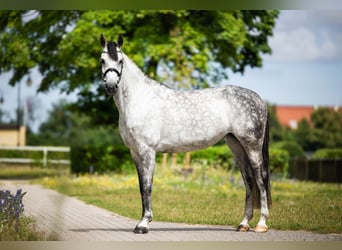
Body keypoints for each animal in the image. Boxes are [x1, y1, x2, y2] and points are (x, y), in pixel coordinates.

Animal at [99, 34, 272, 233]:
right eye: (102, 61)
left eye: (120, 61)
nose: (111, 86)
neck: (139, 100)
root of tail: (259, 99)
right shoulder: (134, 152)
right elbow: (142, 186)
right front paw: (141, 222)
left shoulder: (147, 150)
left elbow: (148, 186)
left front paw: (143, 224)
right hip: (236, 144)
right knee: (249, 180)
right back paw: (243, 223)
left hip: (252, 145)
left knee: (261, 178)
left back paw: (261, 224)